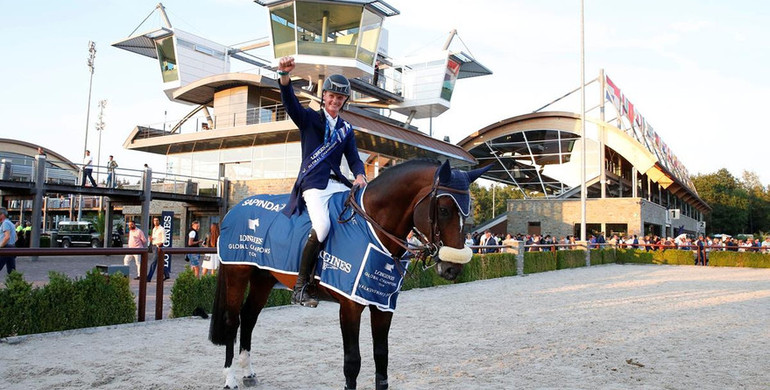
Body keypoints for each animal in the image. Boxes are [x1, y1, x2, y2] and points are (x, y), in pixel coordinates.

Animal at [208, 159, 486, 390]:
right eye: (444, 209)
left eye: (467, 211)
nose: (452, 268)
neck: (371, 227)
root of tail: (235, 209)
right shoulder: (350, 306)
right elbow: (352, 362)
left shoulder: (382, 305)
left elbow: (381, 358)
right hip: (237, 273)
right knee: (233, 321)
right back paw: (230, 379)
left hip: (263, 279)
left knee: (249, 317)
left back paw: (248, 373)